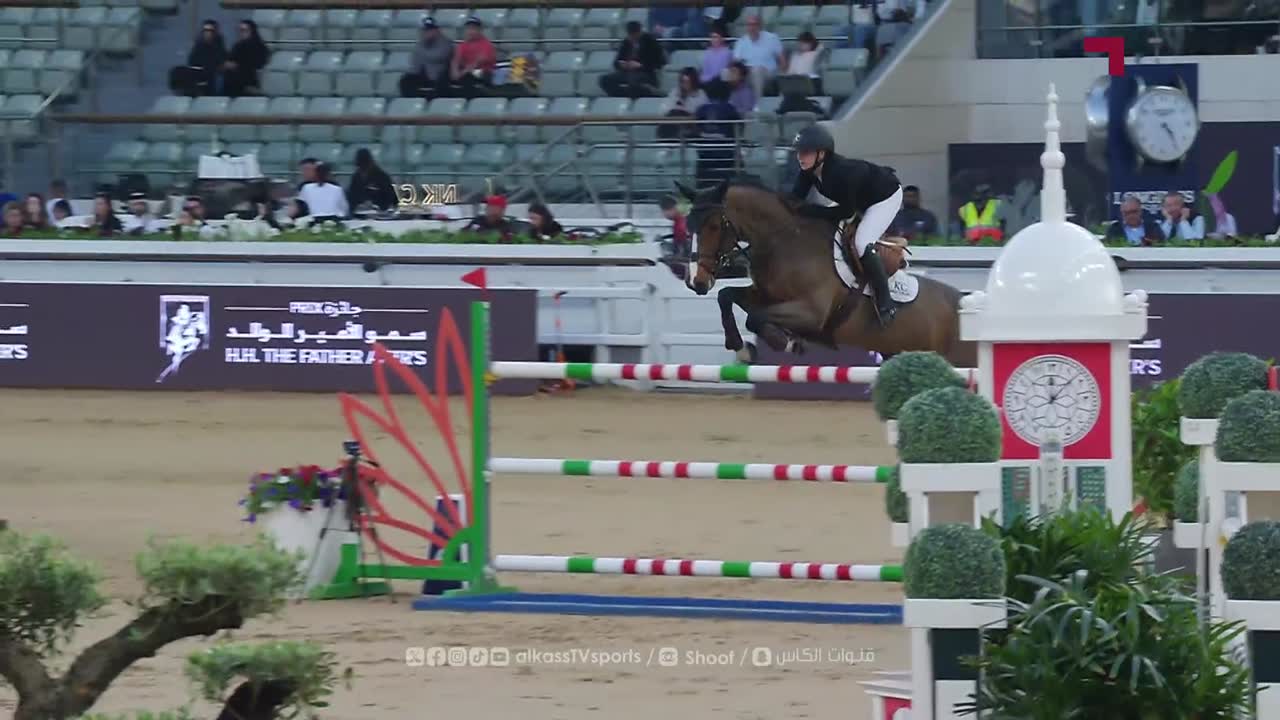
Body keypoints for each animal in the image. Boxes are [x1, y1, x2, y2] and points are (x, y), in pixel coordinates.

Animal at [678, 176, 976, 368]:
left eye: (714, 226)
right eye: (689, 224)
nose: (696, 282)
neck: (784, 241)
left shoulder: (812, 312)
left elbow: (755, 318)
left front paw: (785, 343)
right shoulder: (764, 295)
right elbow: (727, 297)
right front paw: (741, 347)